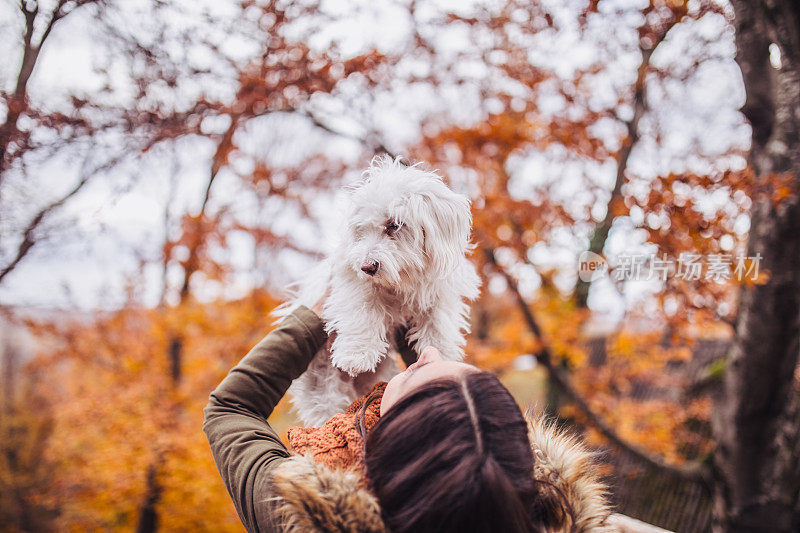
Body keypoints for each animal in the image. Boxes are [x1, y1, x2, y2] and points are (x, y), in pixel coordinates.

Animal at [280, 155, 482, 424]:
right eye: (361, 230)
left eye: (394, 225)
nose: (367, 266)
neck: (401, 280)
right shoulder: (352, 284)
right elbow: (362, 312)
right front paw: (356, 356)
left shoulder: (440, 293)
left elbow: (439, 324)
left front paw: (441, 357)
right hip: (322, 383)